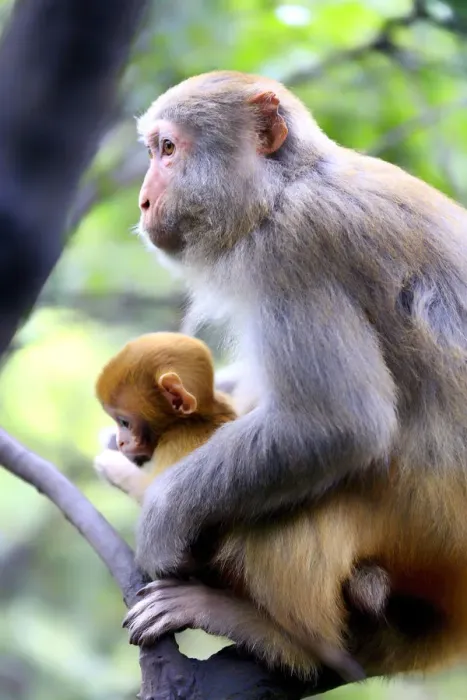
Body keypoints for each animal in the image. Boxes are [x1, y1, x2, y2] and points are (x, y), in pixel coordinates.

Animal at [122, 70, 467, 678]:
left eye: (167, 150)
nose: (143, 200)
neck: (284, 189)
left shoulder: (293, 250)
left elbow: (336, 423)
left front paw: (160, 522)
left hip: (426, 537)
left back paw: (274, 636)